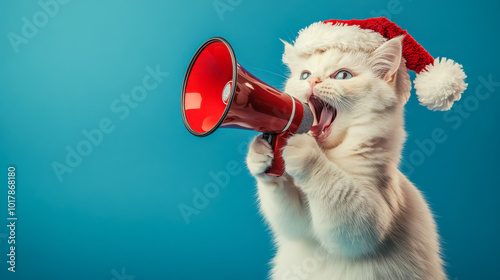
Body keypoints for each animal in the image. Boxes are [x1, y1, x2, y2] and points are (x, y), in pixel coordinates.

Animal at [248, 23, 448, 278]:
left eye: (343, 76)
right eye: (305, 75)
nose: (313, 81)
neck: (330, 155)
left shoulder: (369, 217)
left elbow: (333, 186)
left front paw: (303, 150)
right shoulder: (300, 227)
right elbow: (286, 213)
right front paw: (258, 154)